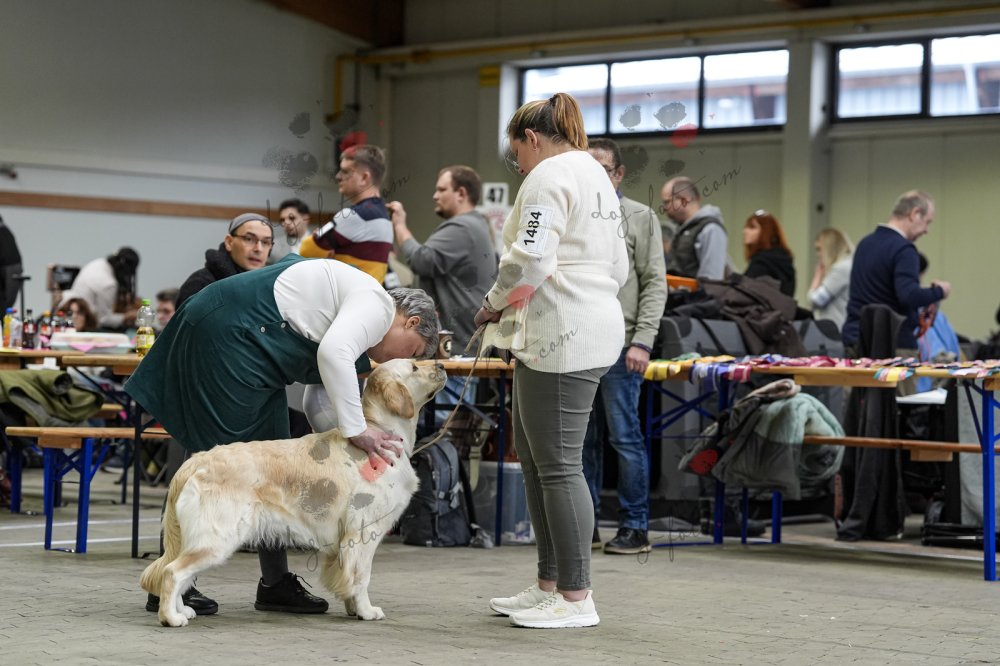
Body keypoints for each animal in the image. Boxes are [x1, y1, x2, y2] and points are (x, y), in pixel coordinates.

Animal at [139, 358, 447, 627]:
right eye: (414, 366)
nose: (442, 365)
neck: (381, 432)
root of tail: (195, 461)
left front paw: (352, 608)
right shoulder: (363, 532)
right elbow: (361, 577)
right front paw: (366, 611)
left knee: (174, 571)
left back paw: (183, 610)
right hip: (217, 538)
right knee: (172, 572)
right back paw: (171, 617)